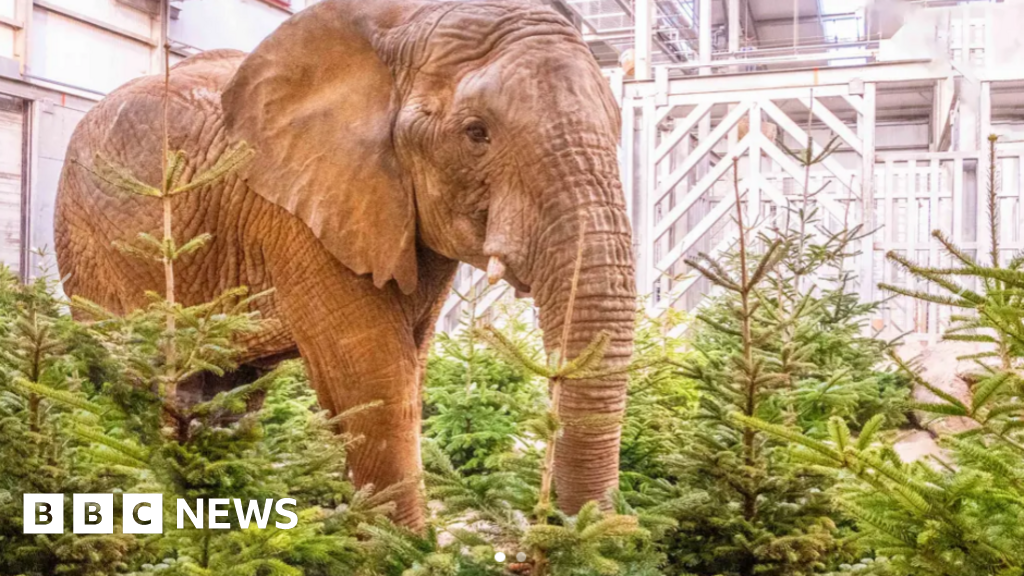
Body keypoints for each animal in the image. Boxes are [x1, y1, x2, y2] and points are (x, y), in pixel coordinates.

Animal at [56, 0, 634, 528]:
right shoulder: (298, 214)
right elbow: (375, 378)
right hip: (90, 245)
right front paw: (405, 550)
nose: (584, 533)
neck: (400, 29)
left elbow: (410, 368)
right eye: (476, 133)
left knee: (229, 391)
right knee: (141, 372)